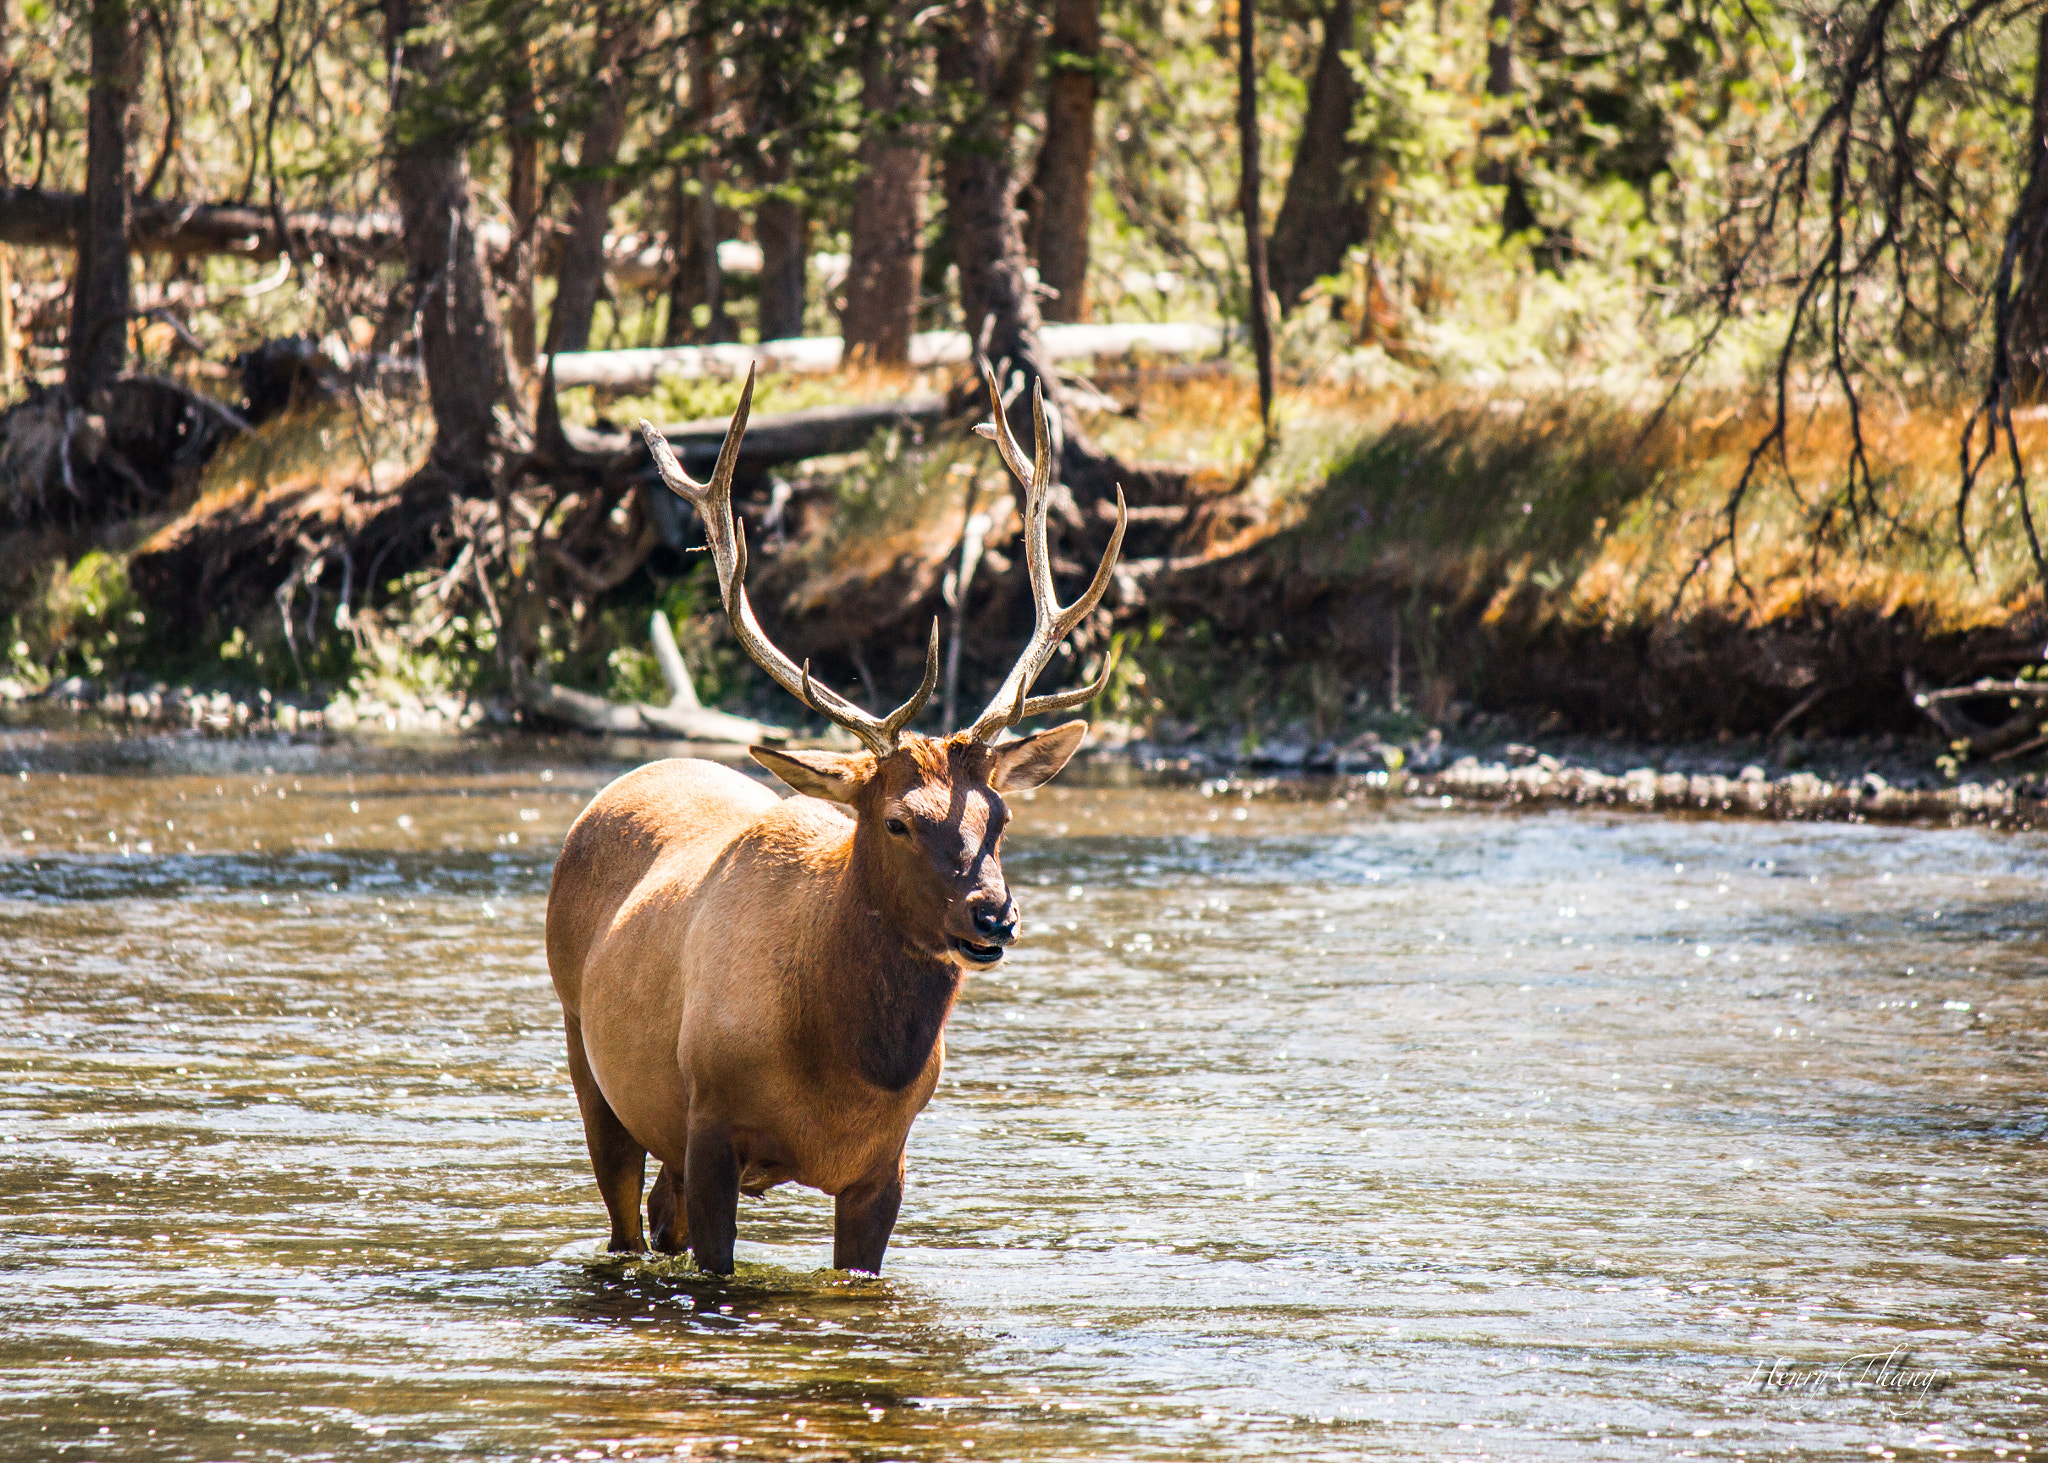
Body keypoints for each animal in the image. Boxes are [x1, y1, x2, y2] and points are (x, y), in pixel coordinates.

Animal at [544, 363, 1126, 1276]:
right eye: (897, 821)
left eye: (999, 814)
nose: (993, 914)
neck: (842, 1074)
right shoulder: (709, 1128)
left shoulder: (883, 1165)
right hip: (590, 1059)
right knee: (625, 1220)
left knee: (658, 1214)